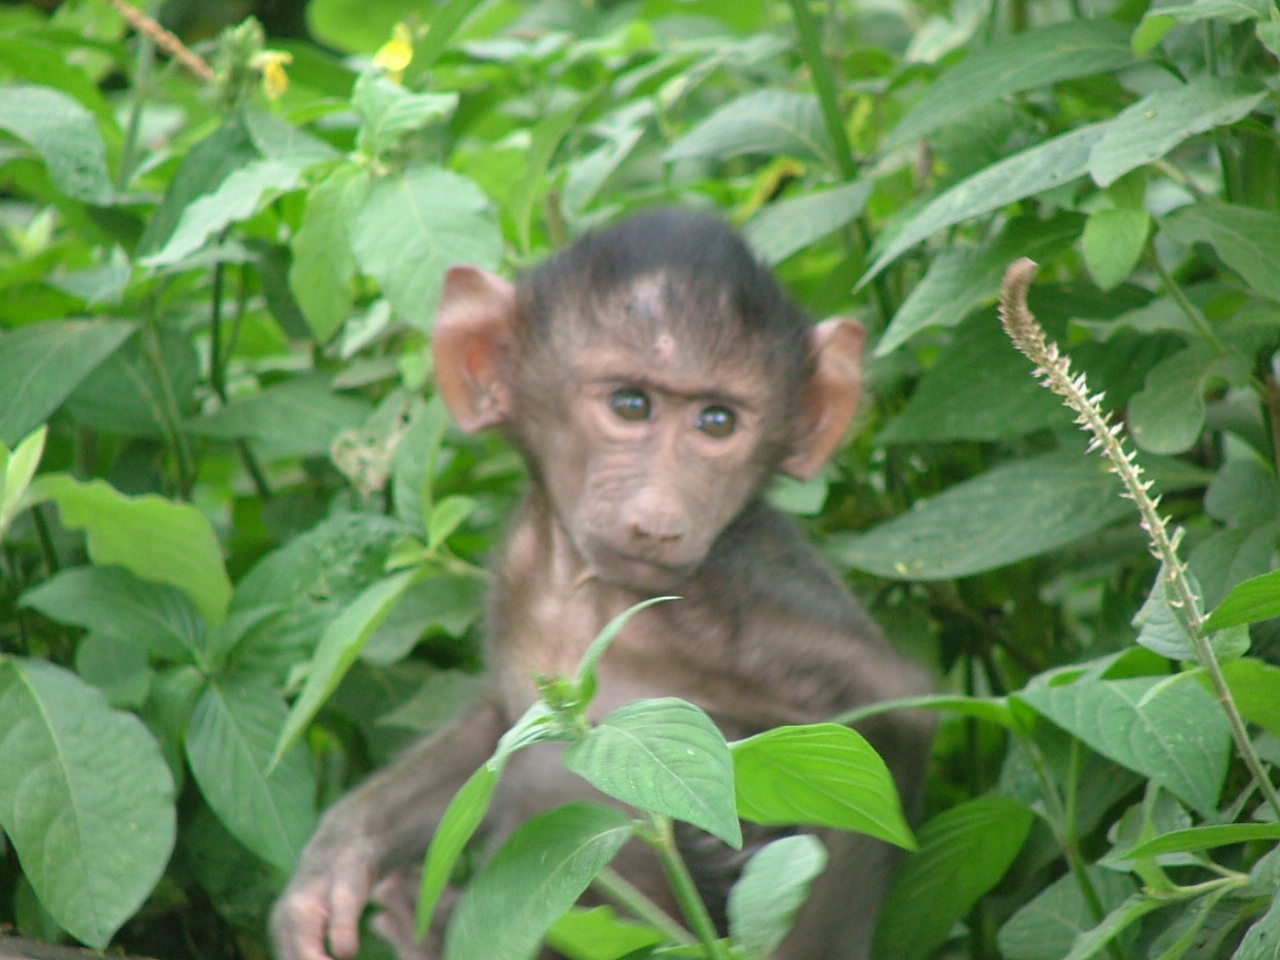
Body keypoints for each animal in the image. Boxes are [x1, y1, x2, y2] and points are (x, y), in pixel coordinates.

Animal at [271, 209, 934, 960]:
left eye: (717, 422)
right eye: (630, 405)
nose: (660, 519)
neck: (586, 592)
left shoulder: (730, 607)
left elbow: (888, 726)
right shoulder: (520, 572)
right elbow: (503, 730)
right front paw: (334, 864)